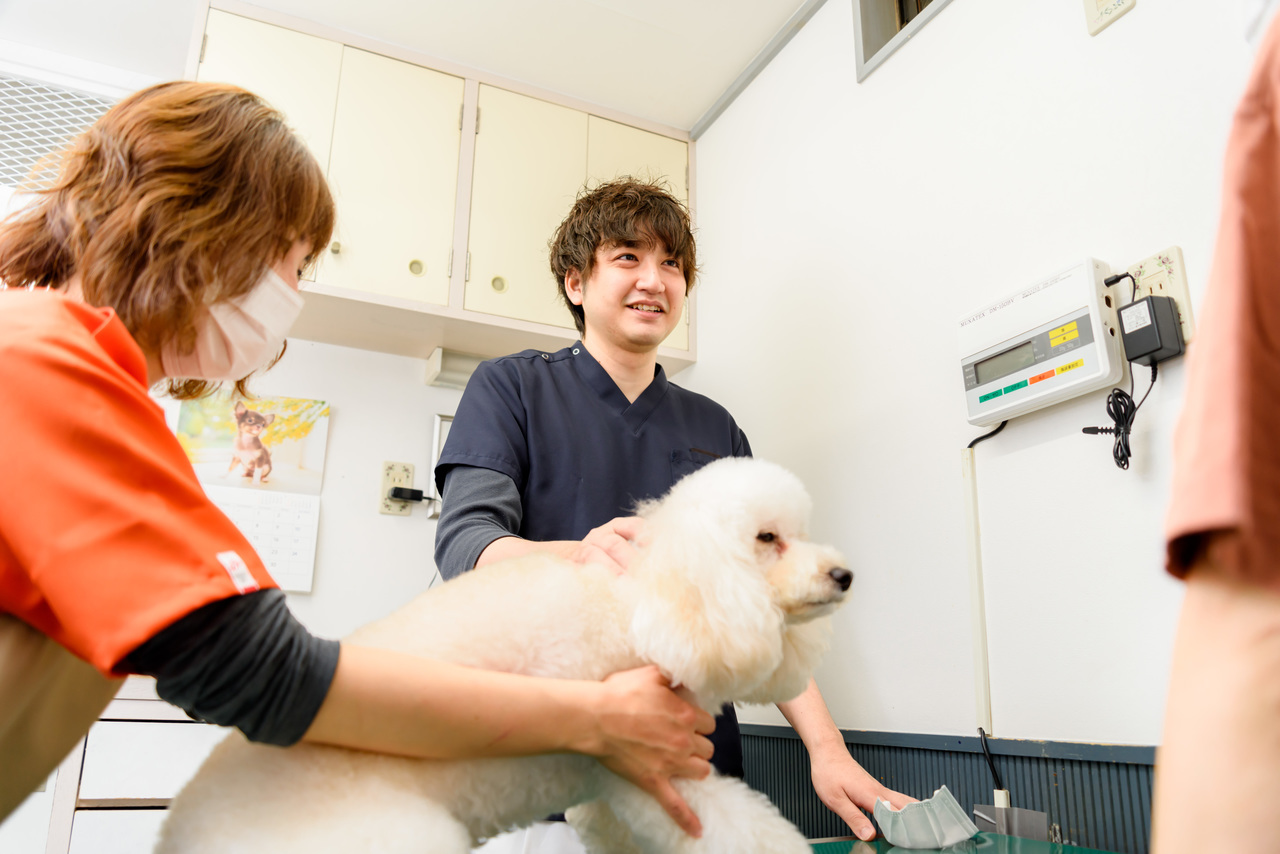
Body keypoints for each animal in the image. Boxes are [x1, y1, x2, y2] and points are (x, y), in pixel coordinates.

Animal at [156, 457, 852, 854]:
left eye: (803, 533)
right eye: (766, 538)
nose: (845, 574)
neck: (647, 606)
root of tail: (181, 826)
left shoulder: (608, 798)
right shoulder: (657, 773)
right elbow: (752, 835)